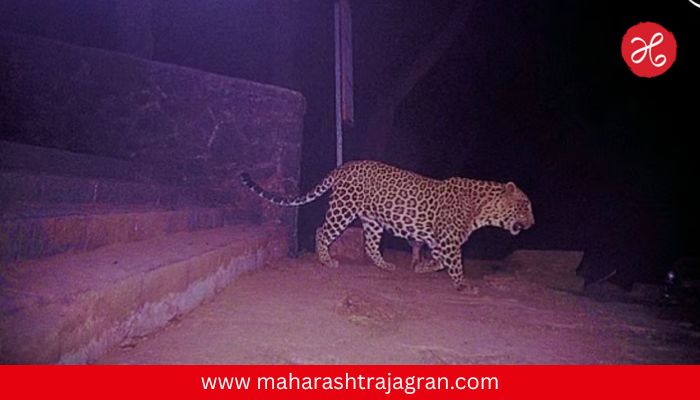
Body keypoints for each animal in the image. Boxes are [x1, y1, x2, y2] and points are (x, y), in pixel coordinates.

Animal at [240, 160, 534, 290]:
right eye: (524, 205)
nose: (532, 223)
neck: (482, 210)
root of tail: (343, 166)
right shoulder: (448, 241)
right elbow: (455, 263)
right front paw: (462, 284)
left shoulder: (438, 240)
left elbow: (439, 261)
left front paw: (422, 268)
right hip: (343, 209)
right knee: (322, 231)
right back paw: (326, 260)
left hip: (372, 221)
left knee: (370, 245)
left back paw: (385, 265)